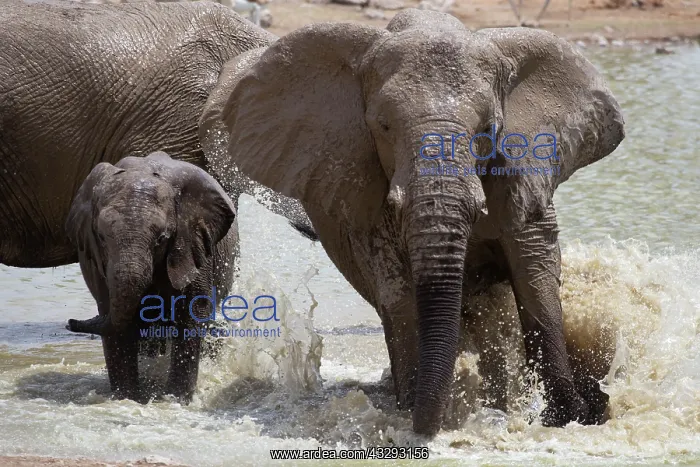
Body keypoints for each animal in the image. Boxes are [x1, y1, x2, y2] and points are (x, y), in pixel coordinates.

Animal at [65, 152, 236, 402]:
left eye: (162, 239)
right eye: (102, 238)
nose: (69, 322)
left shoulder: (194, 245)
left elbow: (192, 314)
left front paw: (175, 399)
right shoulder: (95, 262)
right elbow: (116, 319)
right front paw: (127, 398)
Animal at [199, 9, 625, 436]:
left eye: (488, 129)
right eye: (384, 126)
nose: (426, 426)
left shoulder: (523, 170)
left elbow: (535, 274)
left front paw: (567, 416)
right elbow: (399, 293)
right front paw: (415, 412)